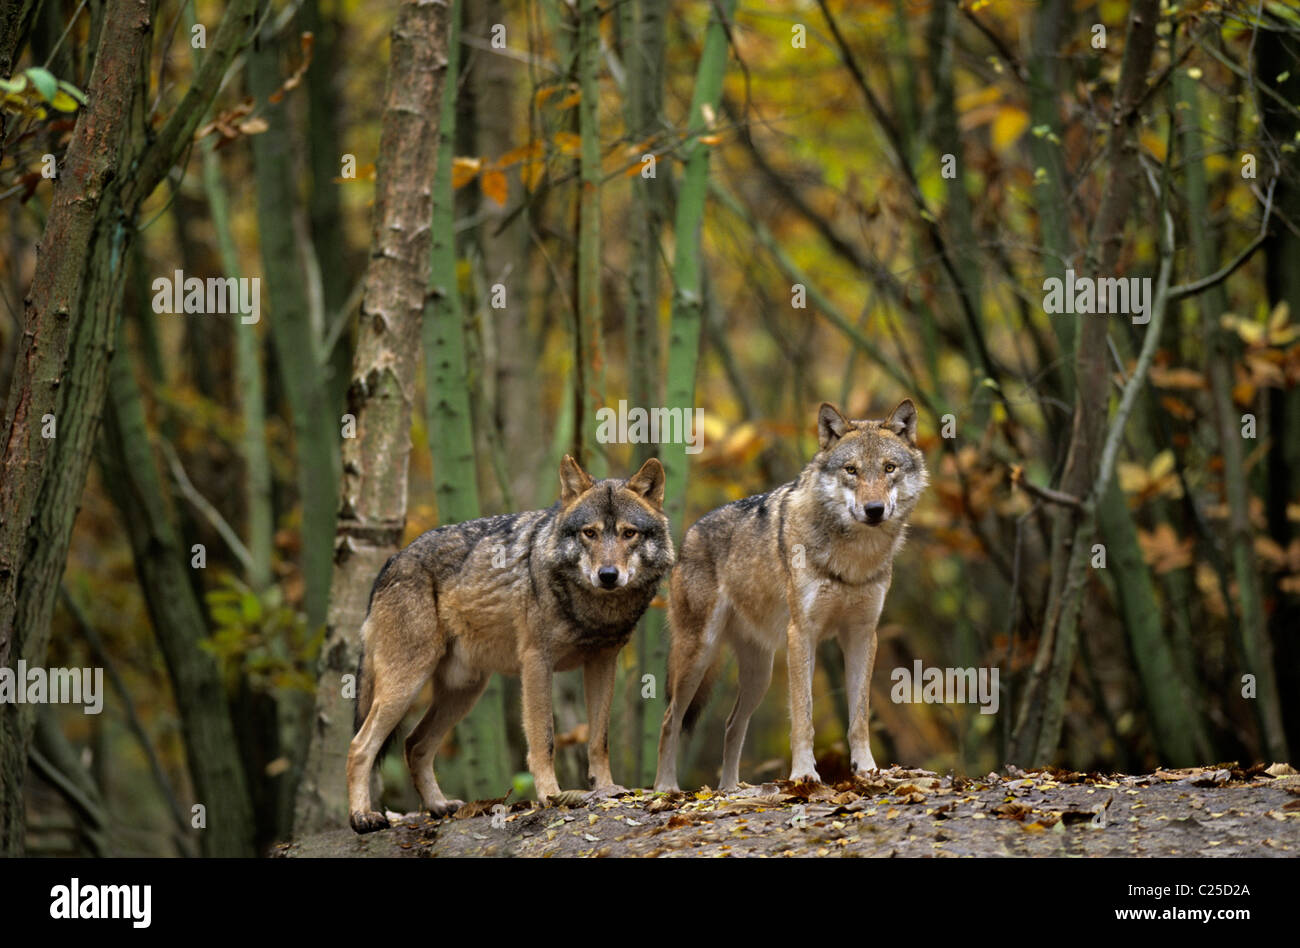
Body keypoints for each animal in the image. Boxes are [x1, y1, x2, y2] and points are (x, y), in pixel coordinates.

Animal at [348, 455, 670, 832]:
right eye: (589, 533)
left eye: (628, 533)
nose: (607, 575)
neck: (594, 608)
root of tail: (390, 563)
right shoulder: (536, 662)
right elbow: (544, 739)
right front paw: (551, 796)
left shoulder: (603, 661)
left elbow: (598, 740)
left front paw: (607, 789)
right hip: (406, 686)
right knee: (360, 746)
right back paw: (362, 817)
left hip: (464, 691)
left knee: (415, 744)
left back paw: (439, 806)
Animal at [655, 400, 930, 790]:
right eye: (851, 470)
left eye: (889, 468)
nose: (874, 509)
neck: (854, 558)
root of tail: (689, 534)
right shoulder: (802, 635)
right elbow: (803, 715)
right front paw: (803, 774)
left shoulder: (862, 635)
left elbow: (859, 716)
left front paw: (867, 769)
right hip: (698, 656)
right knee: (670, 719)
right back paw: (666, 788)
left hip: (760, 674)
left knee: (732, 725)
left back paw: (730, 789)